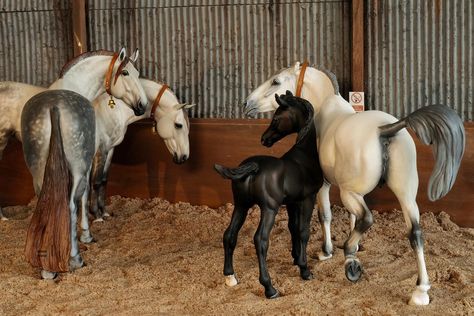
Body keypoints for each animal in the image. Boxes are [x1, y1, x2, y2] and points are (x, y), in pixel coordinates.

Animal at [19, 48, 148, 278]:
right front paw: (87, 233)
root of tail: (54, 108)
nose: (142, 105)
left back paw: (47, 270)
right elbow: (87, 192)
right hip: (77, 167)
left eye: (137, 72)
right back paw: (75, 258)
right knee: (70, 204)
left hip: (39, 170)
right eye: (125, 72)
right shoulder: (91, 159)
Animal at [87, 77, 193, 223]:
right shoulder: (100, 151)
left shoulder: (110, 149)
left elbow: (103, 180)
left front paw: (104, 213)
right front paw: (97, 216)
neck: (112, 111)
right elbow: (96, 181)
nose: (184, 157)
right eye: (178, 125)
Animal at [214, 91, 322, 298]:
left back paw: (230, 277)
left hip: (241, 206)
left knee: (229, 235)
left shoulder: (292, 203)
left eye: (277, 118)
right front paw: (305, 269)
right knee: (260, 240)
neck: (304, 157)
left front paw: (296, 259)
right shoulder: (308, 199)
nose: (264, 139)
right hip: (269, 209)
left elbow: (292, 228)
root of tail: (254, 167)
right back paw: (269, 288)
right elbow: (303, 231)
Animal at [244, 62, 466, 306]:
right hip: (404, 196)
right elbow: (352, 218)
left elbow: (326, 216)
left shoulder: (325, 187)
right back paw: (420, 291)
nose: (247, 104)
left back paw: (351, 261)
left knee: (368, 218)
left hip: (351, 193)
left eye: (276, 81)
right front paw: (354, 244)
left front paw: (327, 251)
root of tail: (385, 129)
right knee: (415, 232)